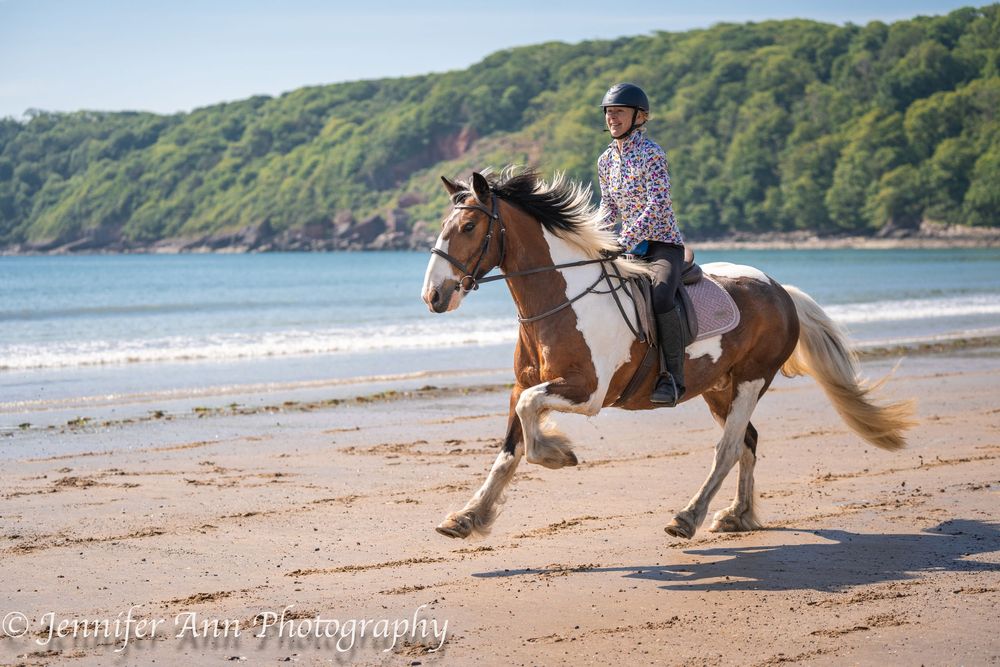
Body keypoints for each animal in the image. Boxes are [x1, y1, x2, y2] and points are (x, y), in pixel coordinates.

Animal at [420, 168, 915, 540]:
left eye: (468, 227)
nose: (434, 296)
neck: (561, 300)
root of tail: (779, 290)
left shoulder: (588, 393)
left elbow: (529, 420)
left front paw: (558, 453)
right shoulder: (523, 386)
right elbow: (509, 449)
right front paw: (468, 517)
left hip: (751, 380)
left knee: (728, 448)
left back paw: (688, 517)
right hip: (718, 388)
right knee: (748, 442)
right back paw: (737, 516)